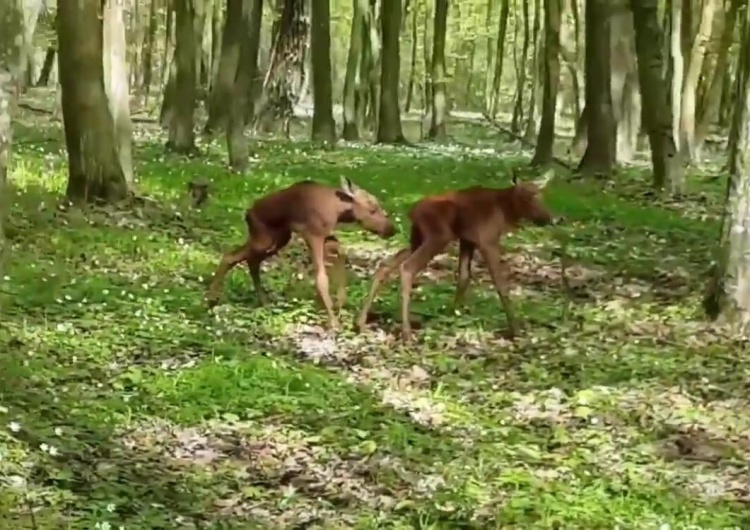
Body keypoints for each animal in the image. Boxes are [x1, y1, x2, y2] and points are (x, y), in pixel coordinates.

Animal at [203, 175, 396, 328]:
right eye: (372, 208)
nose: (391, 229)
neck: (338, 211)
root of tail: (247, 214)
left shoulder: (325, 235)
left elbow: (341, 253)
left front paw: (339, 301)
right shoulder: (313, 234)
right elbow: (321, 277)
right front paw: (333, 321)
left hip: (279, 238)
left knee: (251, 261)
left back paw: (262, 301)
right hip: (263, 239)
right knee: (231, 256)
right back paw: (211, 299)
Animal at [360, 170, 564, 342]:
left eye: (541, 195)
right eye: (526, 197)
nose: (554, 218)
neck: (505, 212)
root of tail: (412, 212)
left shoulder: (467, 240)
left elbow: (464, 278)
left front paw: (453, 316)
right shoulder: (487, 241)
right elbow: (501, 285)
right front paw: (515, 330)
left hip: (417, 238)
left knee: (385, 265)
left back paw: (361, 320)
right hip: (438, 236)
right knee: (407, 268)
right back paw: (406, 333)